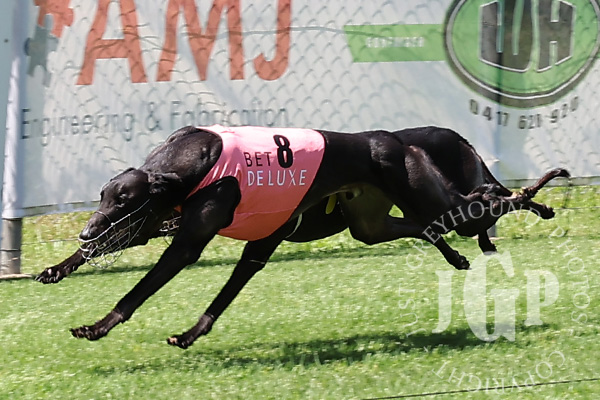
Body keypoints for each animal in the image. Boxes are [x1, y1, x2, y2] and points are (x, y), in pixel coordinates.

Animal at [36, 125, 569, 348]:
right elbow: (104, 251)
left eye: (122, 199)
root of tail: (398, 141)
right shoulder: (161, 222)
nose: (85, 225)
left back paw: (539, 196)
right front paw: (57, 268)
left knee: (489, 200)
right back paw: (461, 255)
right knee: (430, 226)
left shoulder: (189, 241)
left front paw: (97, 327)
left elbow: (140, 290)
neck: (195, 162)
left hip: (439, 201)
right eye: (104, 196)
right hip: (372, 224)